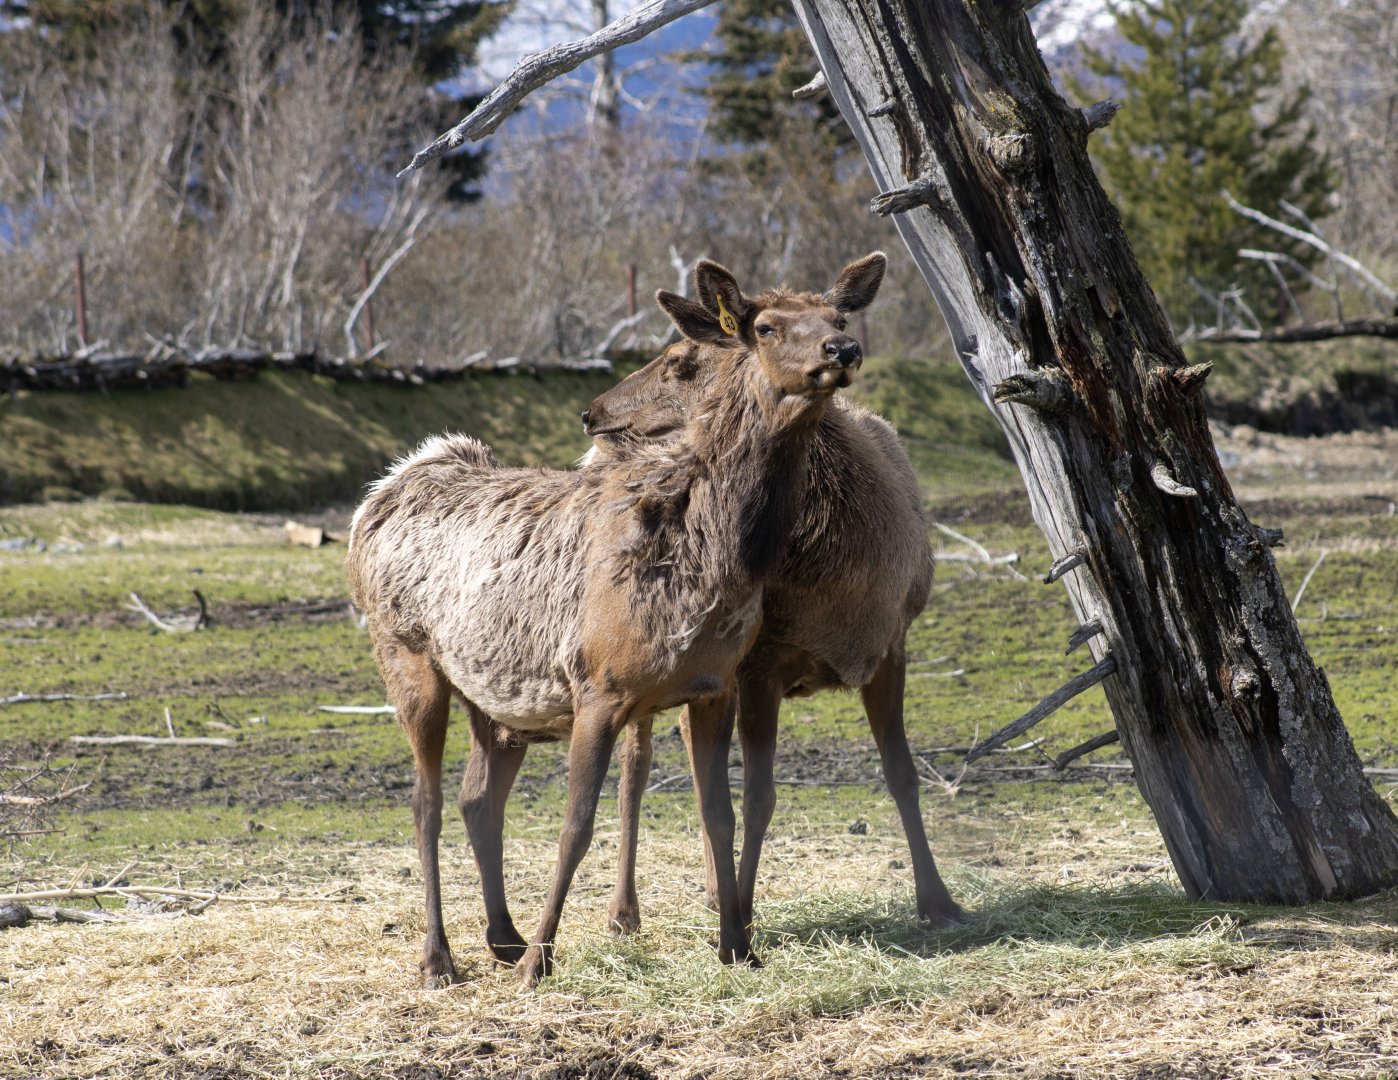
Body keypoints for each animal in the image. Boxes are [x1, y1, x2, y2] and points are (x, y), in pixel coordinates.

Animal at [345, 256, 873, 987]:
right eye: (765, 327)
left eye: (839, 316)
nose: (842, 350)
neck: (715, 562)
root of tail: (378, 495)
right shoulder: (596, 684)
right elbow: (576, 826)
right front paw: (539, 964)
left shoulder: (715, 686)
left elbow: (720, 814)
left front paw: (739, 948)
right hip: (405, 653)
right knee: (425, 803)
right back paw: (440, 959)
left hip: (496, 697)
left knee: (478, 798)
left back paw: (501, 936)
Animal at [580, 254, 967, 939]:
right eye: (763, 327)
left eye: (841, 318)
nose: (593, 412)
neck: (835, 584)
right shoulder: (759, 663)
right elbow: (758, 796)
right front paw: (747, 910)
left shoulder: (892, 643)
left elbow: (902, 774)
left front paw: (938, 901)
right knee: (637, 767)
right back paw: (626, 911)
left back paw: (711, 892)